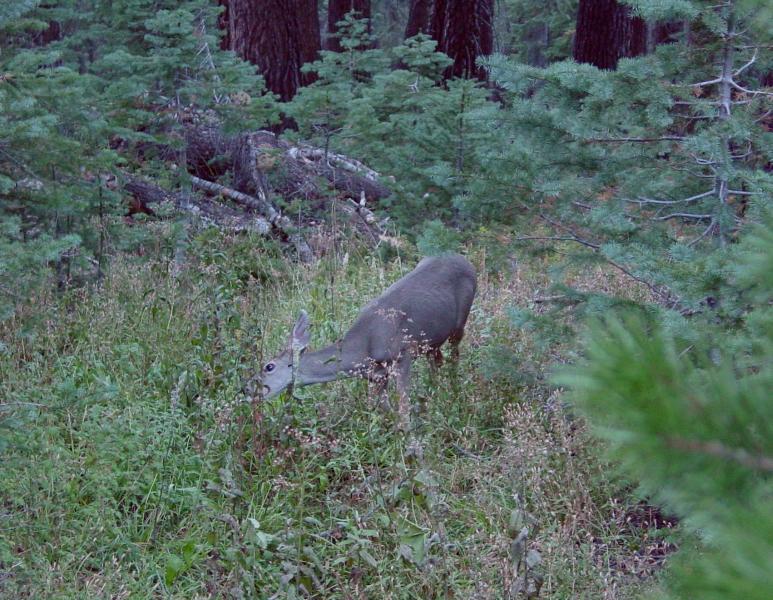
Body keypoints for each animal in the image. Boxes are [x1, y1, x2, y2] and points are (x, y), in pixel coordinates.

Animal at [246, 254, 477, 427]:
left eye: (269, 366)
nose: (247, 389)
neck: (362, 350)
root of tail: (466, 261)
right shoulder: (376, 376)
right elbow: (385, 407)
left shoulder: (402, 355)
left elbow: (403, 407)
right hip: (433, 338)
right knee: (437, 360)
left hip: (460, 320)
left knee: (454, 355)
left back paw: (454, 392)